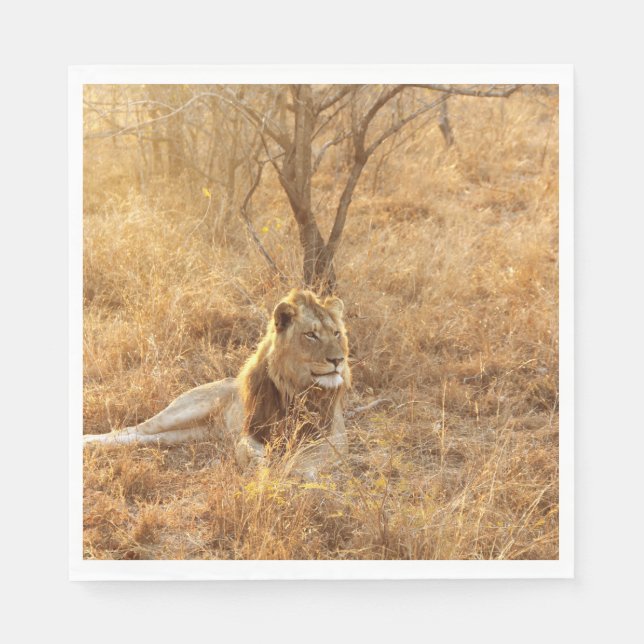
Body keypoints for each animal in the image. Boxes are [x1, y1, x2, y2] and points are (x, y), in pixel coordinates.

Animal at [83, 289, 351, 479]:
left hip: (189, 434)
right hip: (184, 410)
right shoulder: (252, 431)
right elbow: (248, 451)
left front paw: (296, 471)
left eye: (336, 333)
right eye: (311, 335)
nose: (338, 360)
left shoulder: (334, 436)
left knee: (146, 438)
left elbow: (309, 457)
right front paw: (262, 469)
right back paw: (88, 440)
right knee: (134, 429)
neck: (297, 388)